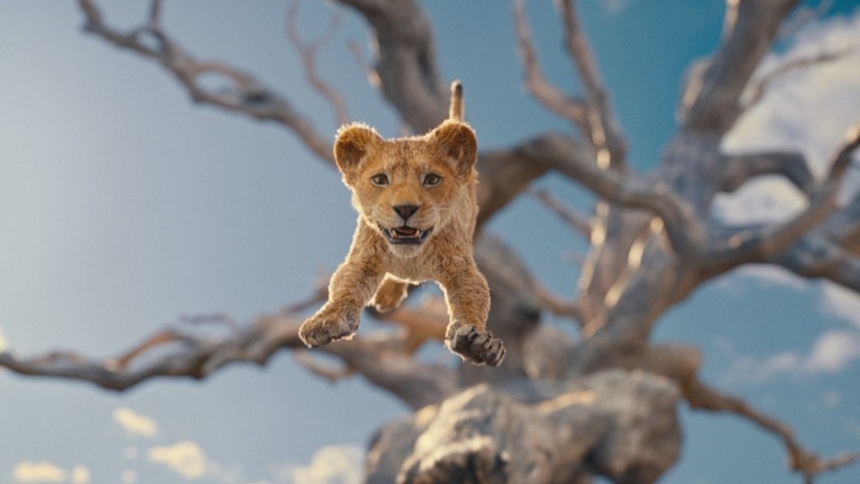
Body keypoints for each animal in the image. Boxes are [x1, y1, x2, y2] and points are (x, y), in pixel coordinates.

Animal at [298, 82, 506, 366]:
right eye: (380, 180)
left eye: (432, 179)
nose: (405, 208)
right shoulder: (362, 260)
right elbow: (344, 287)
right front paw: (325, 320)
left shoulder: (462, 269)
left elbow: (472, 299)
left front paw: (477, 343)